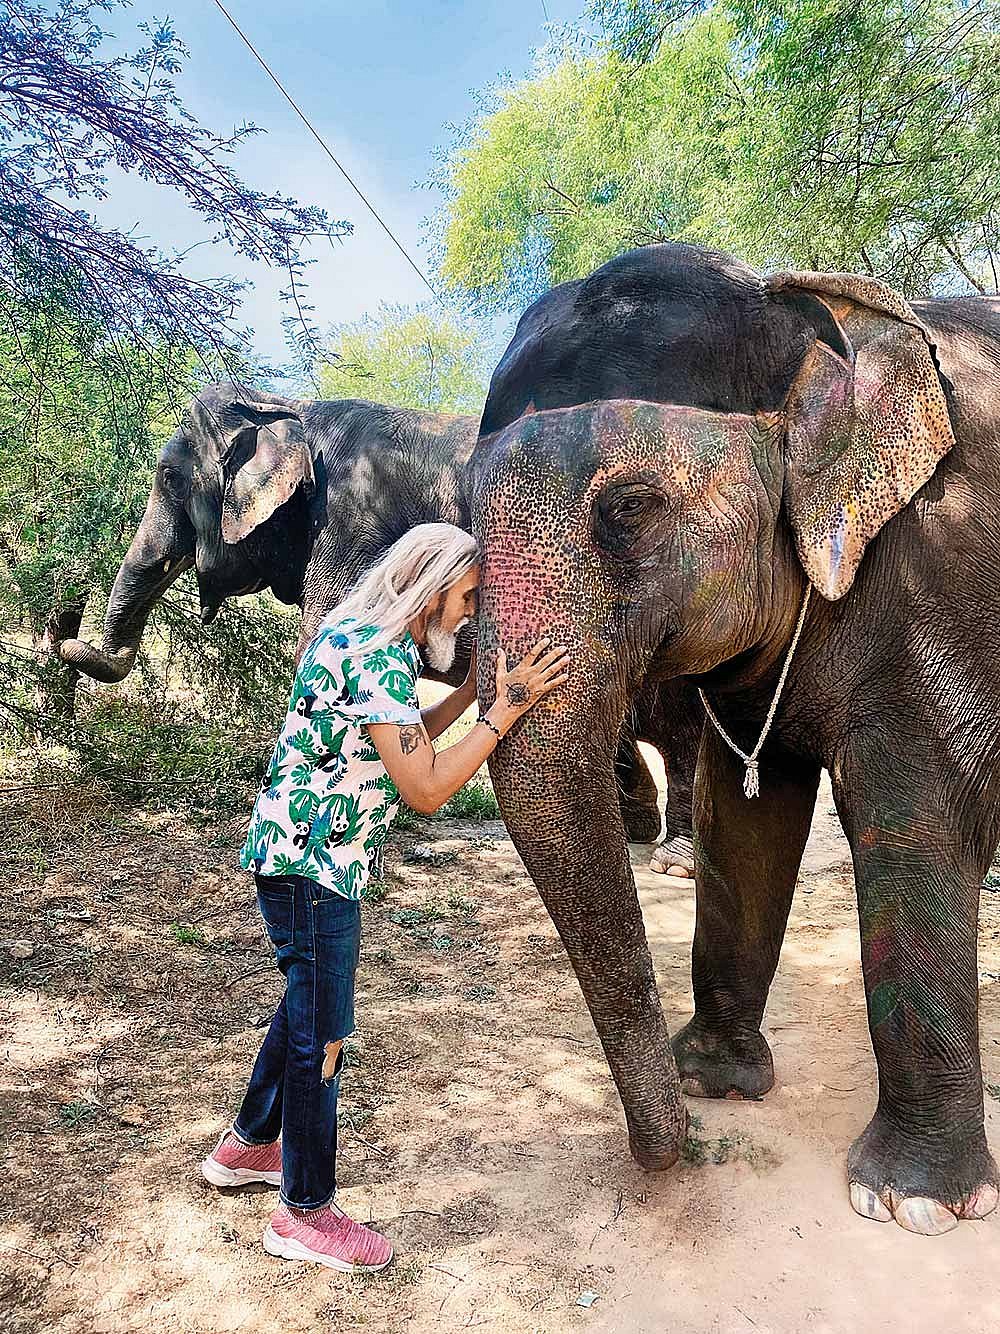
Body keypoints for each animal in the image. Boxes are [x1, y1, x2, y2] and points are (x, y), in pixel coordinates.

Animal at [55, 382, 696, 848]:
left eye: (169, 478)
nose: (72, 644)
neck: (288, 405)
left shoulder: (351, 520)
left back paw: (678, 857)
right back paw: (643, 835)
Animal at [472, 240, 1000, 1236]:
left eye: (630, 508)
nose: (677, 1157)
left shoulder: (938, 592)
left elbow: (916, 828)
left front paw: (912, 1204)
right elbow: (746, 822)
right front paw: (712, 1081)